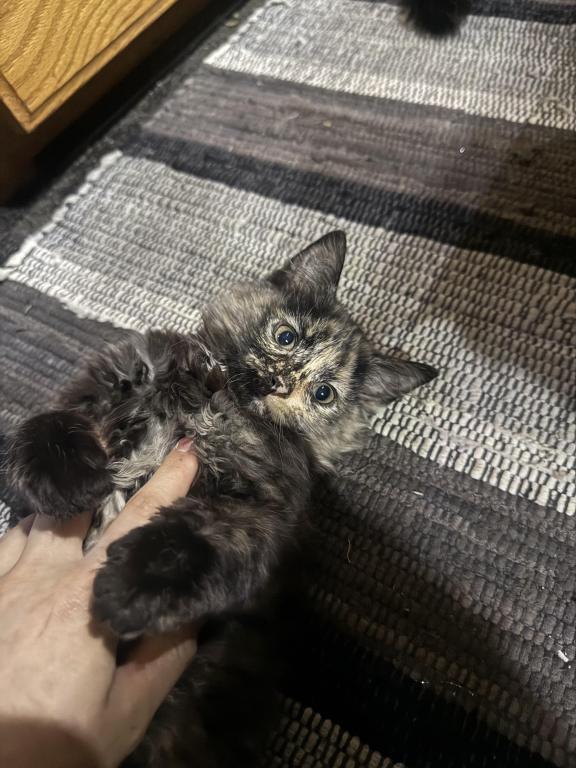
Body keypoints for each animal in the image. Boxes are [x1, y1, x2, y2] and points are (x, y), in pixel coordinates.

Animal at [7, 231, 437, 767]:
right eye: (286, 337)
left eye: (322, 394)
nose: (278, 381)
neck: (215, 400)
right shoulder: (116, 373)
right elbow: (61, 414)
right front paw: (59, 476)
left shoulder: (262, 506)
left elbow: (198, 539)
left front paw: (133, 586)